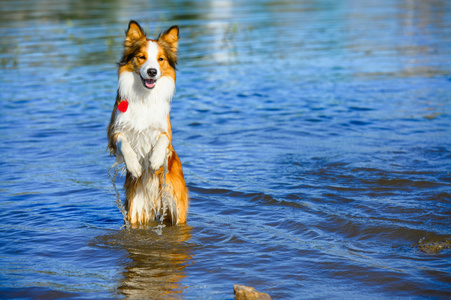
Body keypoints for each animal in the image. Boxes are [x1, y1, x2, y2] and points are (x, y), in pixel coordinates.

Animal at [108, 20, 189, 225]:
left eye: (160, 59)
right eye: (142, 57)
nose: (152, 71)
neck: (144, 96)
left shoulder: (166, 131)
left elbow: (163, 140)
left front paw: (155, 160)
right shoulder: (113, 132)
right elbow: (123, 141)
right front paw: (135, 166)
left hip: (176, 207)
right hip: (136, 210)